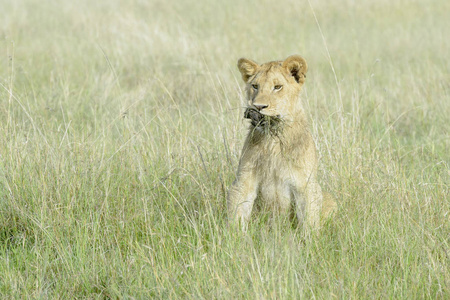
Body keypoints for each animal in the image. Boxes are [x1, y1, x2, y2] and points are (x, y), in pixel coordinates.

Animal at [229, 55, 334, 231]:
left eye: (277, 87)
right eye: (255, 86)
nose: (258, 107)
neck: (273, 139)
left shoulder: (306, 186)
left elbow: (310, 223)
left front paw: (309, 239)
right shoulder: (244, 180)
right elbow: (237, 213)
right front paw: (232, 237)